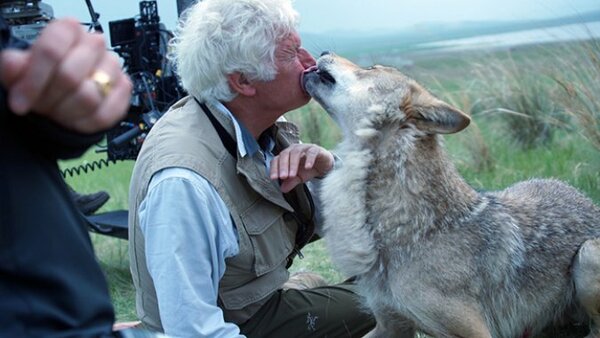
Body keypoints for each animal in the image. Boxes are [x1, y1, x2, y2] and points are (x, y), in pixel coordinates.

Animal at [304, 51, 600, 336]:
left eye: (371, 68)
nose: (324, 50)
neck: (414, 229)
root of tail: (586, 201)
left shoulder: (476, 331)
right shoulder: (390, 324)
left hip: (585, 256)